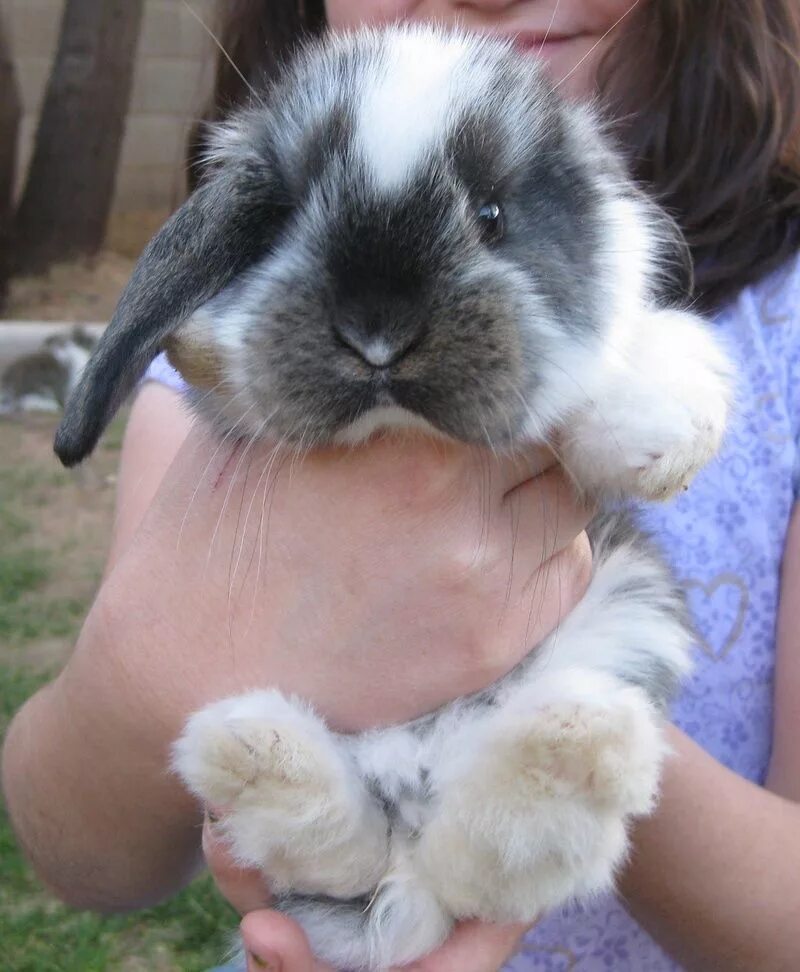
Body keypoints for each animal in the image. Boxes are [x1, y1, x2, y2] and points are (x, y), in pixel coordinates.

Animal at [53, 24, 736, 972]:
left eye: (492, 216)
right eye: (285, 218)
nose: (377, 334)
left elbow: (612, 358)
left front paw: (665, 420)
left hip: (627, 611)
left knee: (492, 863)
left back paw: (566, 748)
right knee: (362, 862)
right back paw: (260, 755)